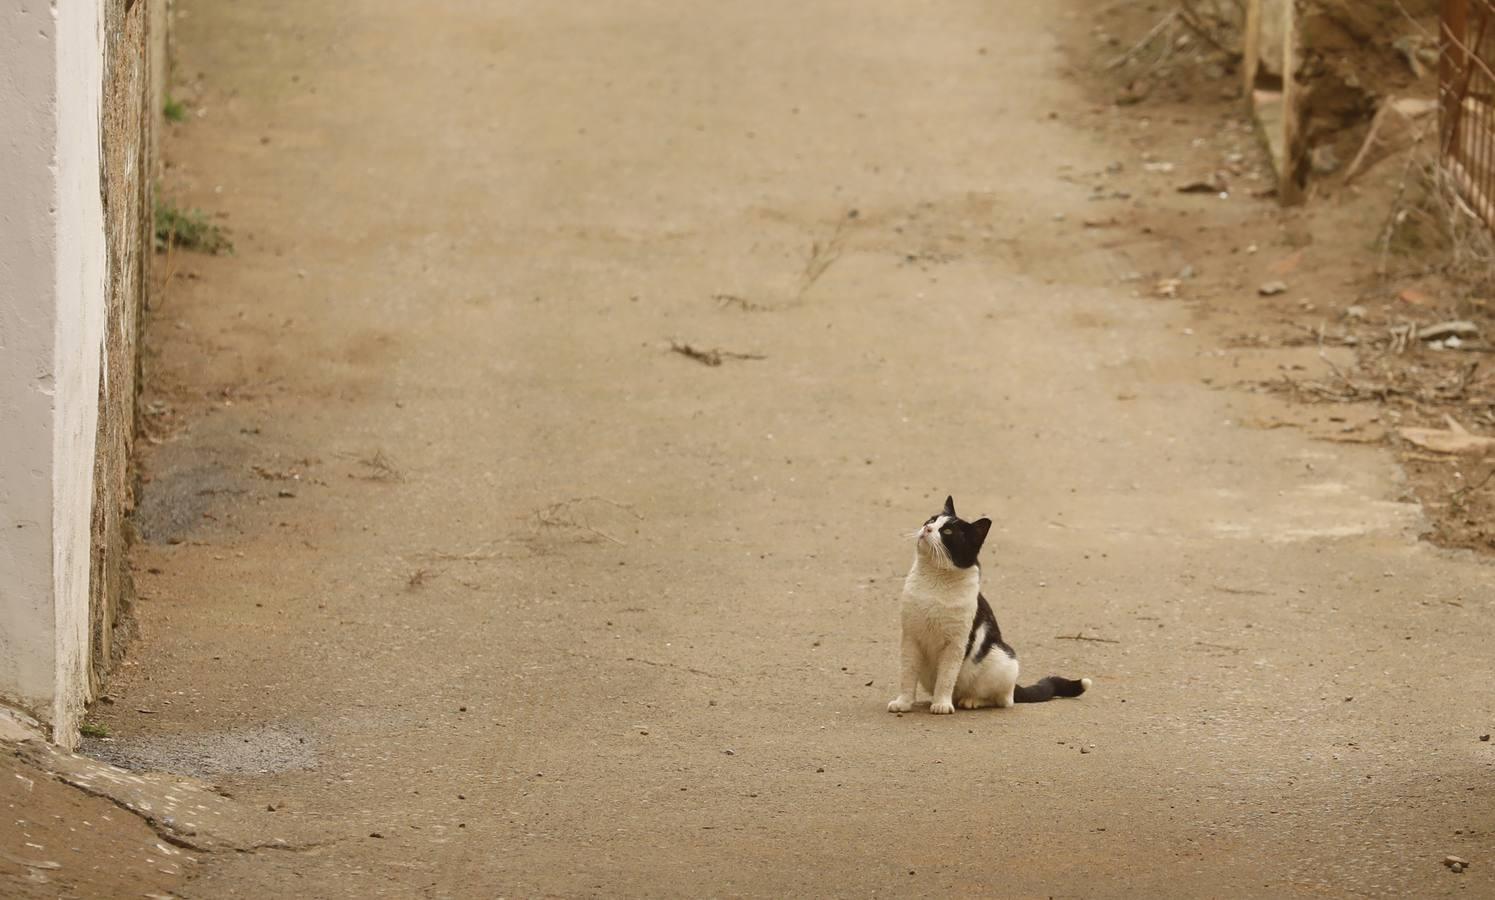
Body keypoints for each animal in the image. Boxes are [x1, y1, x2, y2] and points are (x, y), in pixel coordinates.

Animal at [879, 493, 1094, 711]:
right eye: (931, 520)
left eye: (947, 531)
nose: (927, 529)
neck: (934, 581)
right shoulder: (910, 639)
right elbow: (907, 675)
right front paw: (904, 702)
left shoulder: (955, 644)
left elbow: (946, 678)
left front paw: (941, 704)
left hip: (1001, 659)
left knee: (1002, 699)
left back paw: (970, 701)